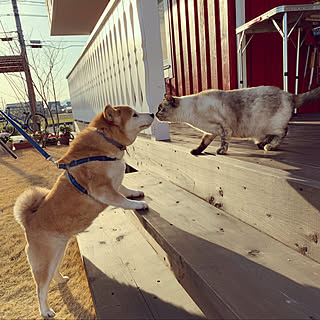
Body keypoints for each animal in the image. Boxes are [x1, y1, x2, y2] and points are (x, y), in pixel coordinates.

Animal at [12, 105, 152, 318]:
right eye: (135, 114)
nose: (152, 113)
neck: (104, 146)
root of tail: (29, 221)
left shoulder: (115, 184)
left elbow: (125, 189)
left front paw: (136, 193)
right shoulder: (103, 189)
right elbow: (122, 200)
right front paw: (137, 205)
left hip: (57, 254)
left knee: (53, 274)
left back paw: (61, 279)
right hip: (44, 261)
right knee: (40, 289)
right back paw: (45, 311)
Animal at [156, 85, 320, 154]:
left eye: (160, 108)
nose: (155, 114)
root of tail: (289, 94)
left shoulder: (223, 128)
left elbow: (224, 143)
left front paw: (221, 151)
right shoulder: (211, 131)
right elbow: (203, 143)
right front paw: (195, 151)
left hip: (271, 125)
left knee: (284, 132)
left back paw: (269, 147)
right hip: (261, 130)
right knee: (269, 137)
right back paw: (262, 144)